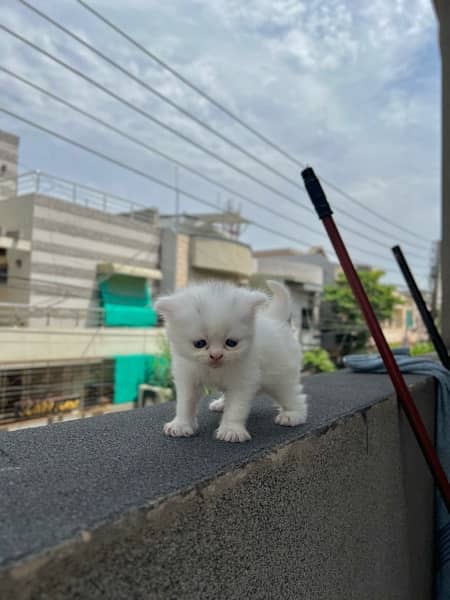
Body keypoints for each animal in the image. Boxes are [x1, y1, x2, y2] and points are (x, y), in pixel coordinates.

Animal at [156, 280, 310, 440]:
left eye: (231, 343)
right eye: (199, 344)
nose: (216, 355)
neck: (214, 370)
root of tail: (276, 320)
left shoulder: (243, 381)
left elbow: (236, 408)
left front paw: (231, 430)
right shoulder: (187, 378)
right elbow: (185, 404)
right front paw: (180, 425)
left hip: (281, 379)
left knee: (294, 396)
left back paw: (293, 415)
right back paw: (221, 404)